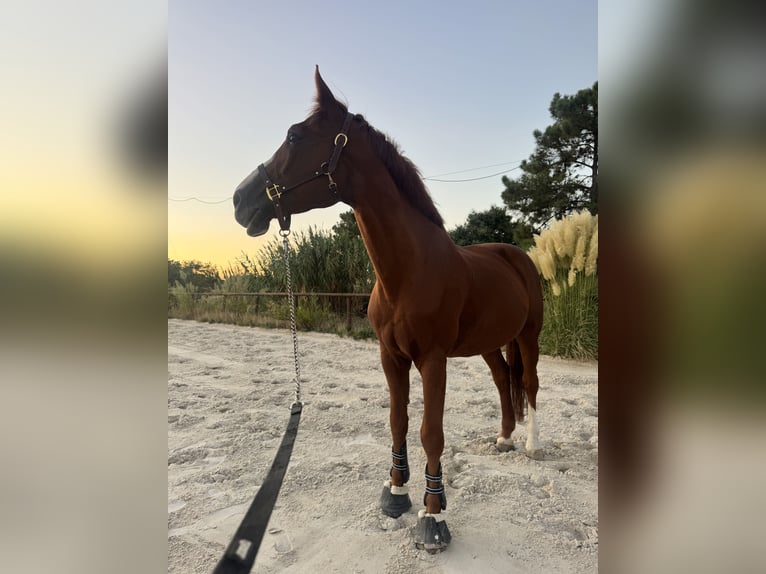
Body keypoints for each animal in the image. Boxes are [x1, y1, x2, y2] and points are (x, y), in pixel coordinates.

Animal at [233, 67, 544, 552]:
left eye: (295, 135)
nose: (240, 200)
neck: (409, 271)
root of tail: (517, 256)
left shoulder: (433, 360)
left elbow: (430, 432)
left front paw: (433, 516)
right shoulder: (390, 356)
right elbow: (399, 421)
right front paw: (396, 493)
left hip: (529, 335)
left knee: (528, 383)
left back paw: (530, 445)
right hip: (490, 344)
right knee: (501, 381)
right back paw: (504, 438)